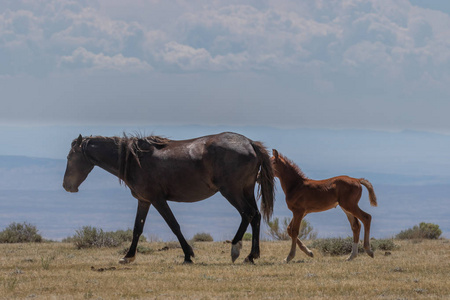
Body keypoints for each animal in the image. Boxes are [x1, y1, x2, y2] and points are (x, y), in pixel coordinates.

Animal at [63, 132, 274, 264]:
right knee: (255, 216)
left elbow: (174, 225)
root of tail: (250, 143)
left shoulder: (158, 200)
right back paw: (251, 256)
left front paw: (188, 255)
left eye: (70, 157)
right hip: (245, 190)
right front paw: (128, 256)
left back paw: (237, 250)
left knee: (248, 214)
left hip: (231, 191)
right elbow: (137, 229)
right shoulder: (144, 200)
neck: (134, 160)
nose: (67, 186)